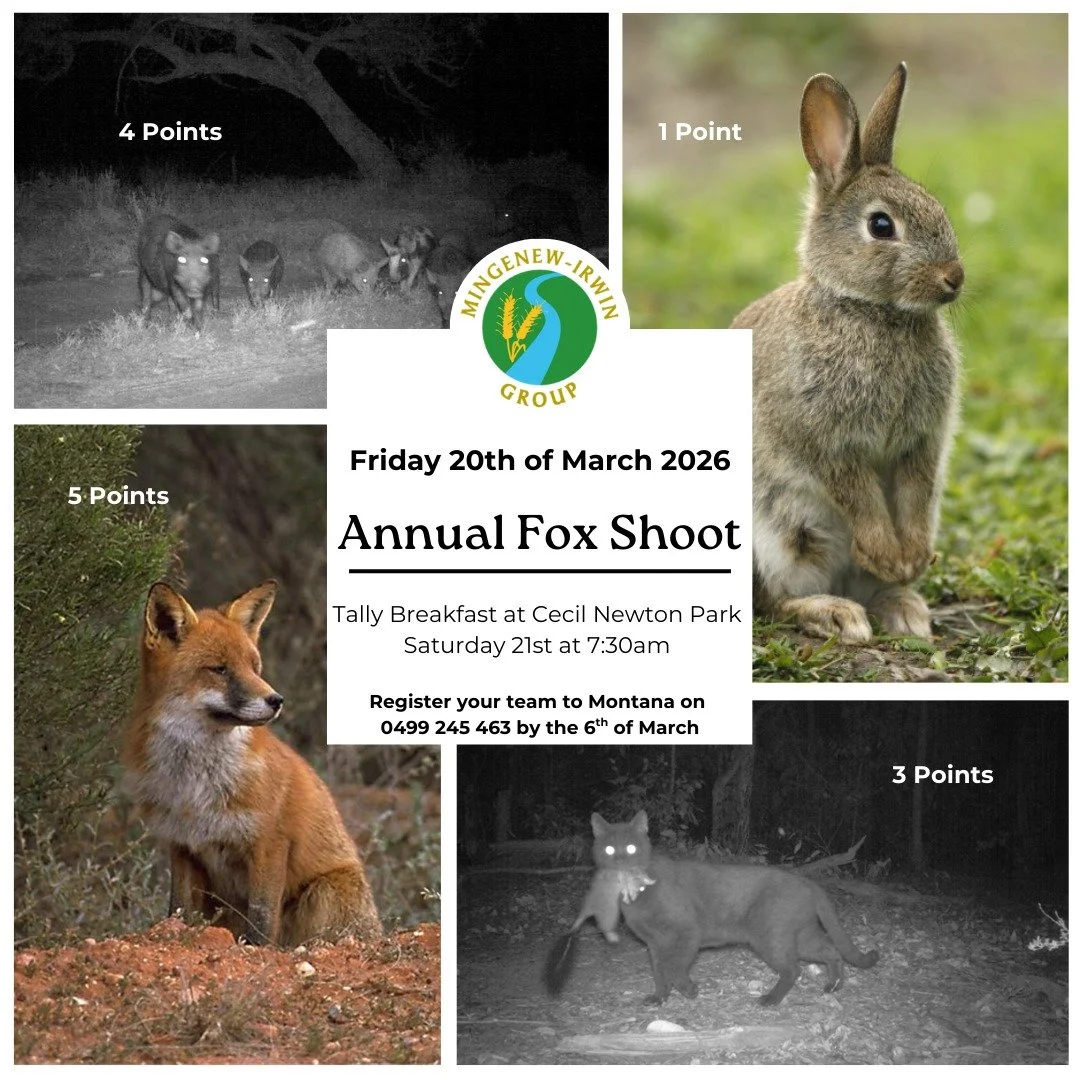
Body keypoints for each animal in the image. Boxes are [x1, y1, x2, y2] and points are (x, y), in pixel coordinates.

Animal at [122, 579, 382, 947]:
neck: (197, 785)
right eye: (220, 669)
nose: (276, 700)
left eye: (254, 667)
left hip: (323, 892)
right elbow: (178, 911)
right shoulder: (183, 844)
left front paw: (258, 952)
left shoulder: (269, 843)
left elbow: (261, 922)